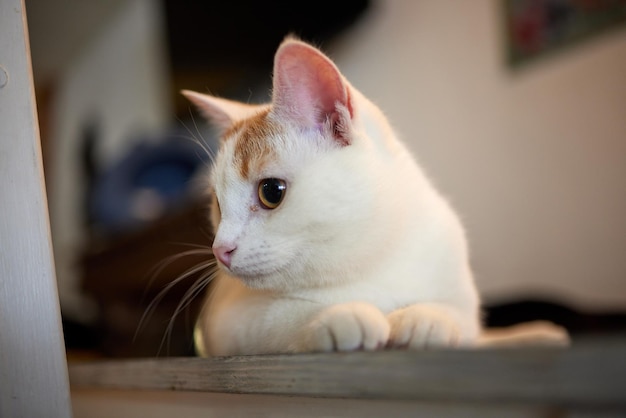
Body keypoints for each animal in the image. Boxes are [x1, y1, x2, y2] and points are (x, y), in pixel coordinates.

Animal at [182, 38, 564, 356]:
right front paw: (340, 314)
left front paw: (427, 318)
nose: (220, 250)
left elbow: (459, 315)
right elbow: (280, 314)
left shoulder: (458, 290)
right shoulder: (228, 321)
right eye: (217, 204)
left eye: (271, 192)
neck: (371, 259)